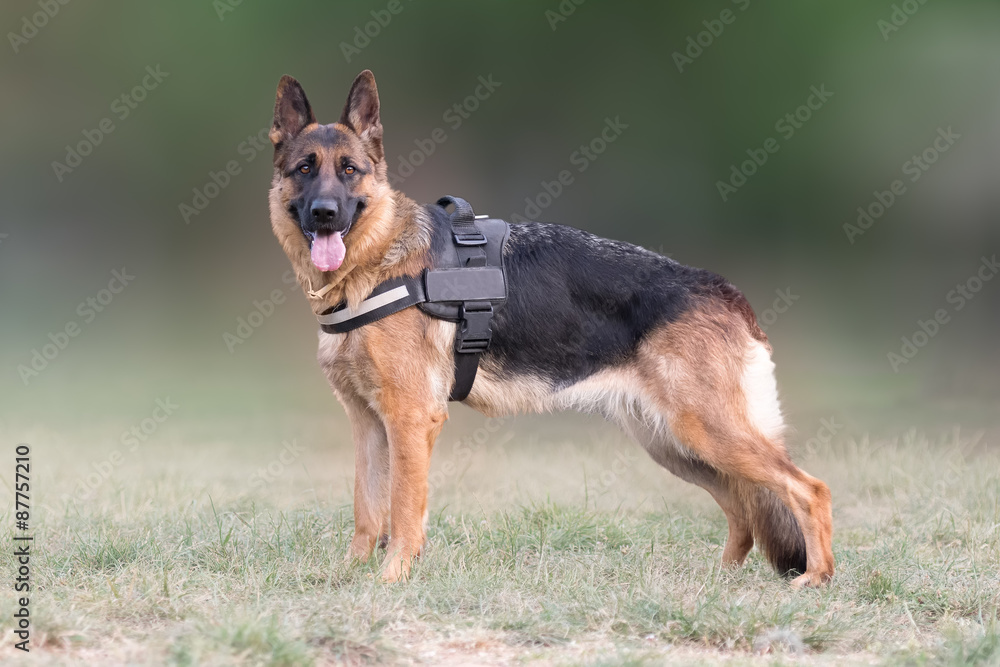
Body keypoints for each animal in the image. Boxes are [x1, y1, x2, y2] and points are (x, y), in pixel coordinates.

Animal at [268, 70, 836, 588]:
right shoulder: (368, 424)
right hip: (678, 446)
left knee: (809, 490)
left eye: (349, 171)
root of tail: (725, 291)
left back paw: (816, 578)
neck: (374, 263)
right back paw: (720, 582)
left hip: (708, 434)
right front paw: (349, 577)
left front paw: (391, 580)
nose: (324, 213)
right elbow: (367, 510)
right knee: (743, 508)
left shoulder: (410, 420)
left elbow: (404, 511)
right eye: (304, 169)